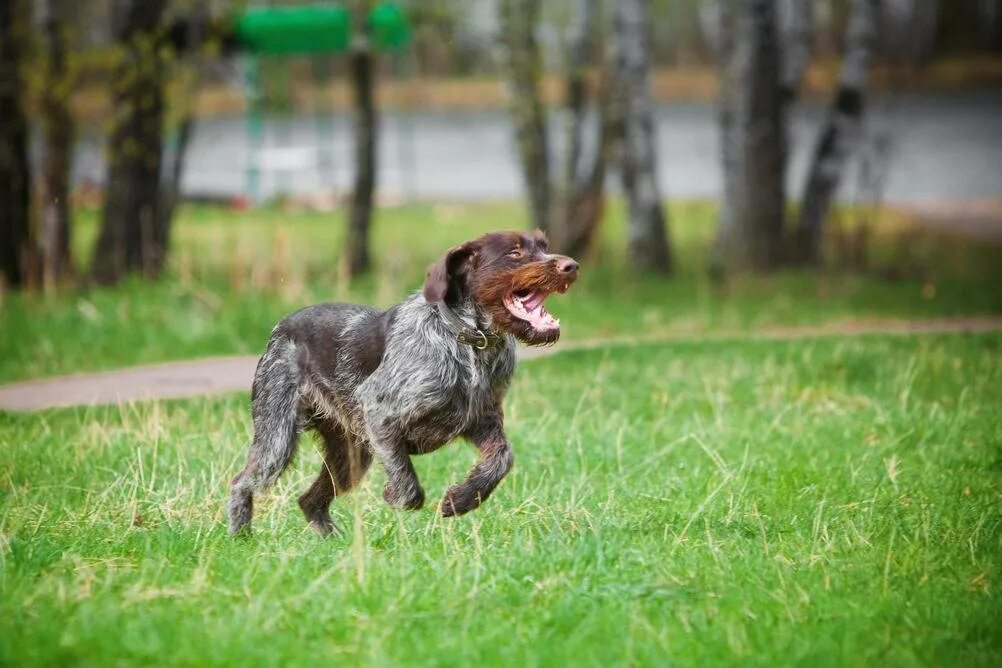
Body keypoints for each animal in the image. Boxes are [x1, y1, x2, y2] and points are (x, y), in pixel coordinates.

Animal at [223, 232, 577, 536]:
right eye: (515, 253)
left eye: (544, 246)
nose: (571, 266)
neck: (469, 341)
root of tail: (281, 326)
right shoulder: (379, 414)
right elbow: (409, 488)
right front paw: (396, 495)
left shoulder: (481, 419)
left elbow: (502, 458)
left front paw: (462, 499)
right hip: (278, 437)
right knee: (242, 482)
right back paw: (241, 537)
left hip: (350, 454)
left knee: (309, 500)